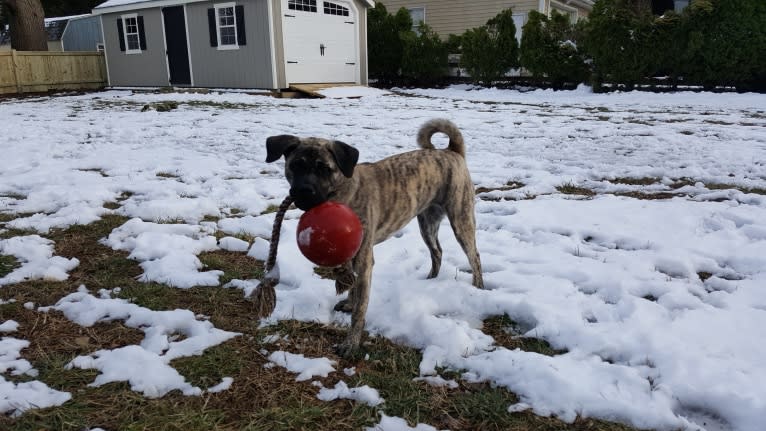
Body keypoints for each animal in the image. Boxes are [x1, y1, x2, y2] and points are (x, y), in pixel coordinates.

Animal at [268, 118, 486, 354]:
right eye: (296, 165)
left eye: (325, 169)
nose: (305, 192)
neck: (343, 193)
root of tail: (451, 151)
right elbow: (351, 285)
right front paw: (349, 303)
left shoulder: (364, 259)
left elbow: (360, 308)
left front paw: (351, 342)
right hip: (427, 223)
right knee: (437, 251)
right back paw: (431, 280)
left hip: (461, 219)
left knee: (474, 256)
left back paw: (478, 288)